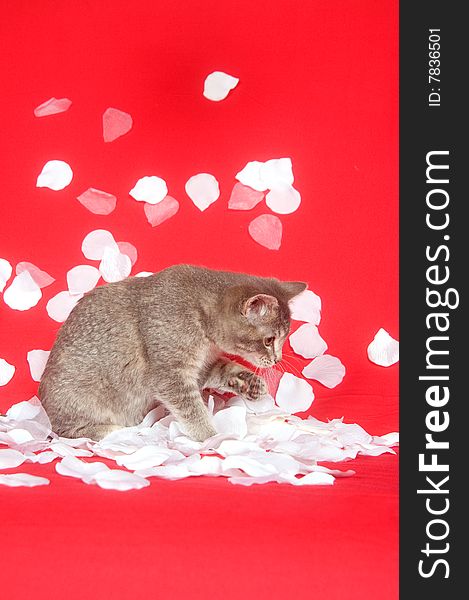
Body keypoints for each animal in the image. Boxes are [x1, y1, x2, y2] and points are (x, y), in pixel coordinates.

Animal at [38, 264, 306, 442]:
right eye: (269, 340)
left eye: (282, 339)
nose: (277, 359)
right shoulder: (170, 374)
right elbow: (192, 409)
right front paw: (211, 437)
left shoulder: (201, 365)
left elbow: (224, 367)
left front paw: (249, 381)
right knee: (66, 432)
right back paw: (113, 430)